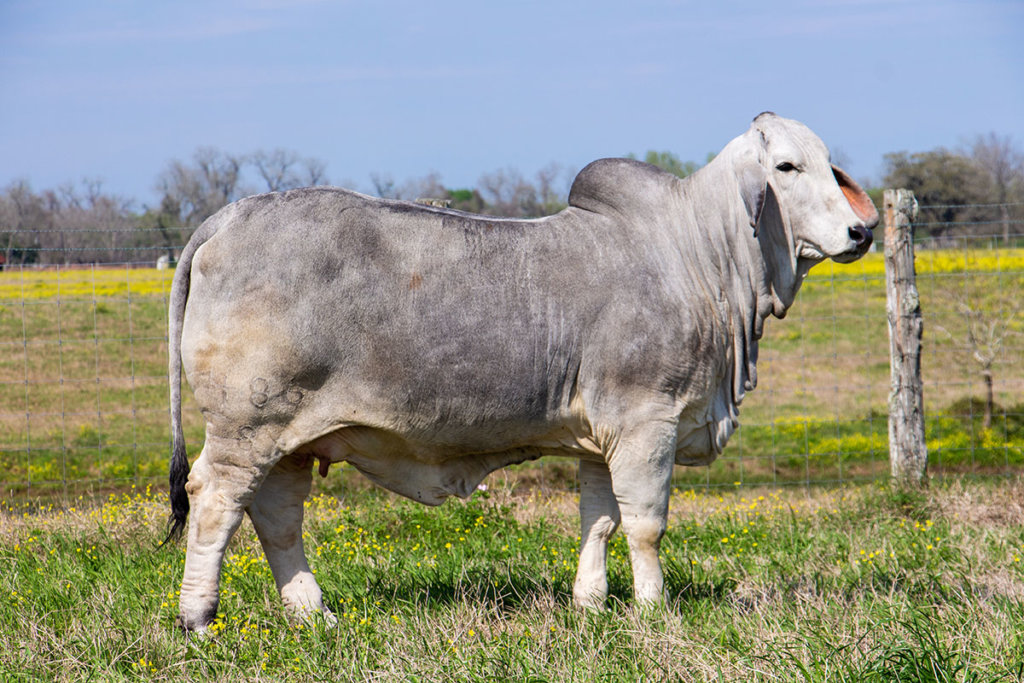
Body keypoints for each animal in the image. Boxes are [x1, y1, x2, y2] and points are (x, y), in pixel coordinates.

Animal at [166, 113, 878, 632]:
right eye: (786, 166)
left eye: (826, 164)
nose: (859, 232)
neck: (699, 255)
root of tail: (226, 216)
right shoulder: (646, 422)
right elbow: (645, 524)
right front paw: (654, 610)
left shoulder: (599, 437)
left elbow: (599, 519)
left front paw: (590, 603)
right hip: (246, 426)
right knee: (215, 501)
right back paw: (198, 617)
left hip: (287, 439)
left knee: (277, 515)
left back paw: (314, 614)